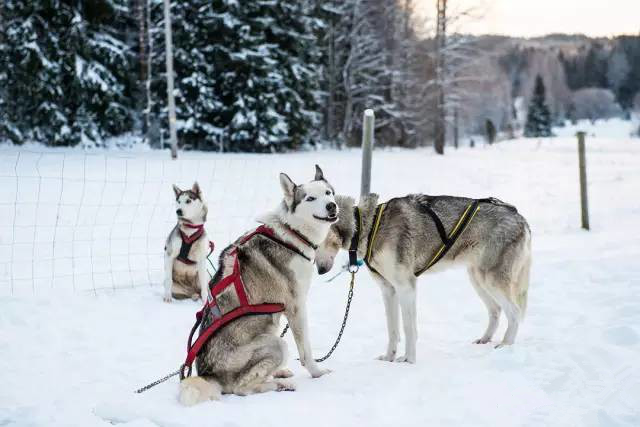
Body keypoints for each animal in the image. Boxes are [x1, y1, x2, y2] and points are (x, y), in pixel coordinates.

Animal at [179, 166, 338, 404]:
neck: (291, 232)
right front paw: (317, 372)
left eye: (328, 193)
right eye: (310, 198)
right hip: (276, 345)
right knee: (241, 389)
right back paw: (280, 385)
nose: (331, 206)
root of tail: (208, 374)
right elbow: (306, 351)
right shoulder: (296, 306)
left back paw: (280, 374)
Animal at [316, 196, 528, 362]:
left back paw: (506, 346)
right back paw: (485, 339)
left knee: (515, 312)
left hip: (492, 280)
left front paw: (408, 360)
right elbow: (393, 329)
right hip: (477, 279)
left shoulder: (405, 288)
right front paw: (389, 358)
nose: (319, 271)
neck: (369, 227)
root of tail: (520, 217)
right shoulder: (388, 290)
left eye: (316, 244)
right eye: (311, 245)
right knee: (496, 310)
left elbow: (409, 328)